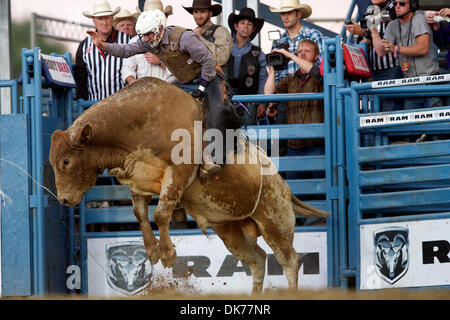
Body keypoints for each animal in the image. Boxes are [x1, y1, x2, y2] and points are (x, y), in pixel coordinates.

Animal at [50, 77, 330, 292]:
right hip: (230, 230)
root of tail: (285, 187)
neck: (139, 123)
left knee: (290, 261)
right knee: (258, 260)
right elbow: (140, 214)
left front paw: (168, 254)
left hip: (275, 221)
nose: (63, 199)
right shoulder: (139, 183)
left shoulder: (178, 174)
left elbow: (161, 214)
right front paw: (152, 252)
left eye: (66, 161)